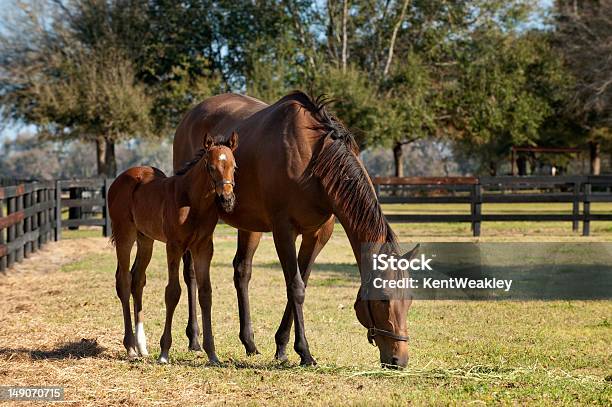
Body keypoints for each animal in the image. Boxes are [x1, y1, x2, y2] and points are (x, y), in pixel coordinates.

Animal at [107, 133, 237, 364]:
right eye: (211, 166)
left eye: (234, 166)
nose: (227, 200)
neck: (192, 202)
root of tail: (118, 181)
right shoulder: (174, 246)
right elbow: (173, 292)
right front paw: (164, 352)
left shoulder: (204, 247)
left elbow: (205, 293)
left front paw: (212, 353)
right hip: (125, 235)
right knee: (124, 280)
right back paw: (130, 347)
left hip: (145, 239)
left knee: (137, 279)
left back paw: (142, 347)